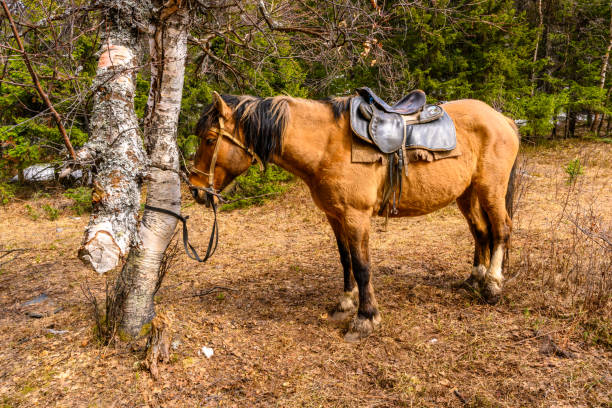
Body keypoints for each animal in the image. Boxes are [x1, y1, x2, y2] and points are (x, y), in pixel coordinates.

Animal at [189, 91, 520, 342]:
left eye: (209, 139)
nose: (194, 189)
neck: (326, 145)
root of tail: (502, 118)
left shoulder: (356, 216)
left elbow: (362, 266)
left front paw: (365, 318)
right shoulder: (335, 216)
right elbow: (345, 260)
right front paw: (345, 304)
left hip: (490, 188)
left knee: (501, 229)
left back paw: (492, 285)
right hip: (467, 194)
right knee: (481, 231)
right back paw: (475, 279)